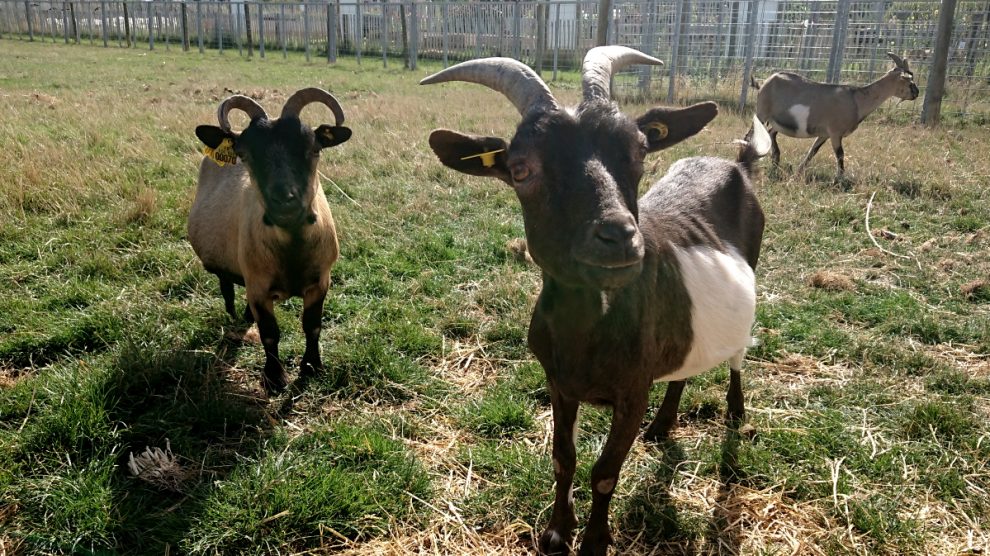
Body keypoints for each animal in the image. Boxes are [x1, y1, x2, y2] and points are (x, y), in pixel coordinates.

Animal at [189, 88, 351, 394]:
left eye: (314, 149)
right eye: (244, 154)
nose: (284, 201)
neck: (291, 249)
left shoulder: (321, 282)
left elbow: (312, 326)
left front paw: (311, 367)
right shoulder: (259, 288)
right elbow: (269, 334)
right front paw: (275, 379)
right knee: (227, 288)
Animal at [422, 46, 770, 555]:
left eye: (640, 152)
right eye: (521, 170)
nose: (619, 237)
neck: (585, 333)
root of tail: (739, 165)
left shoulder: (632, 391)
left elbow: (604, 472)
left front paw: (593, 541)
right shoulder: (558, 383)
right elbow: (562, 457)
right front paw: (555, 531)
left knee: (737, 355)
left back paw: (736, 412)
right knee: (685, 365)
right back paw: (662, 426)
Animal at [754, 52, 919, 177]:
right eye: (908, 80)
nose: (916, 93)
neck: (856, 100)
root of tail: (767, 80)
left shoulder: (824, 134)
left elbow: (812, 151)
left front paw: (798, 172)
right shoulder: (835, 132)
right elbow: (840, 154)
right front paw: (839, 178)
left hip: (776, 121)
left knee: (770, 132)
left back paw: (775, 161)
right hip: (762, 113)